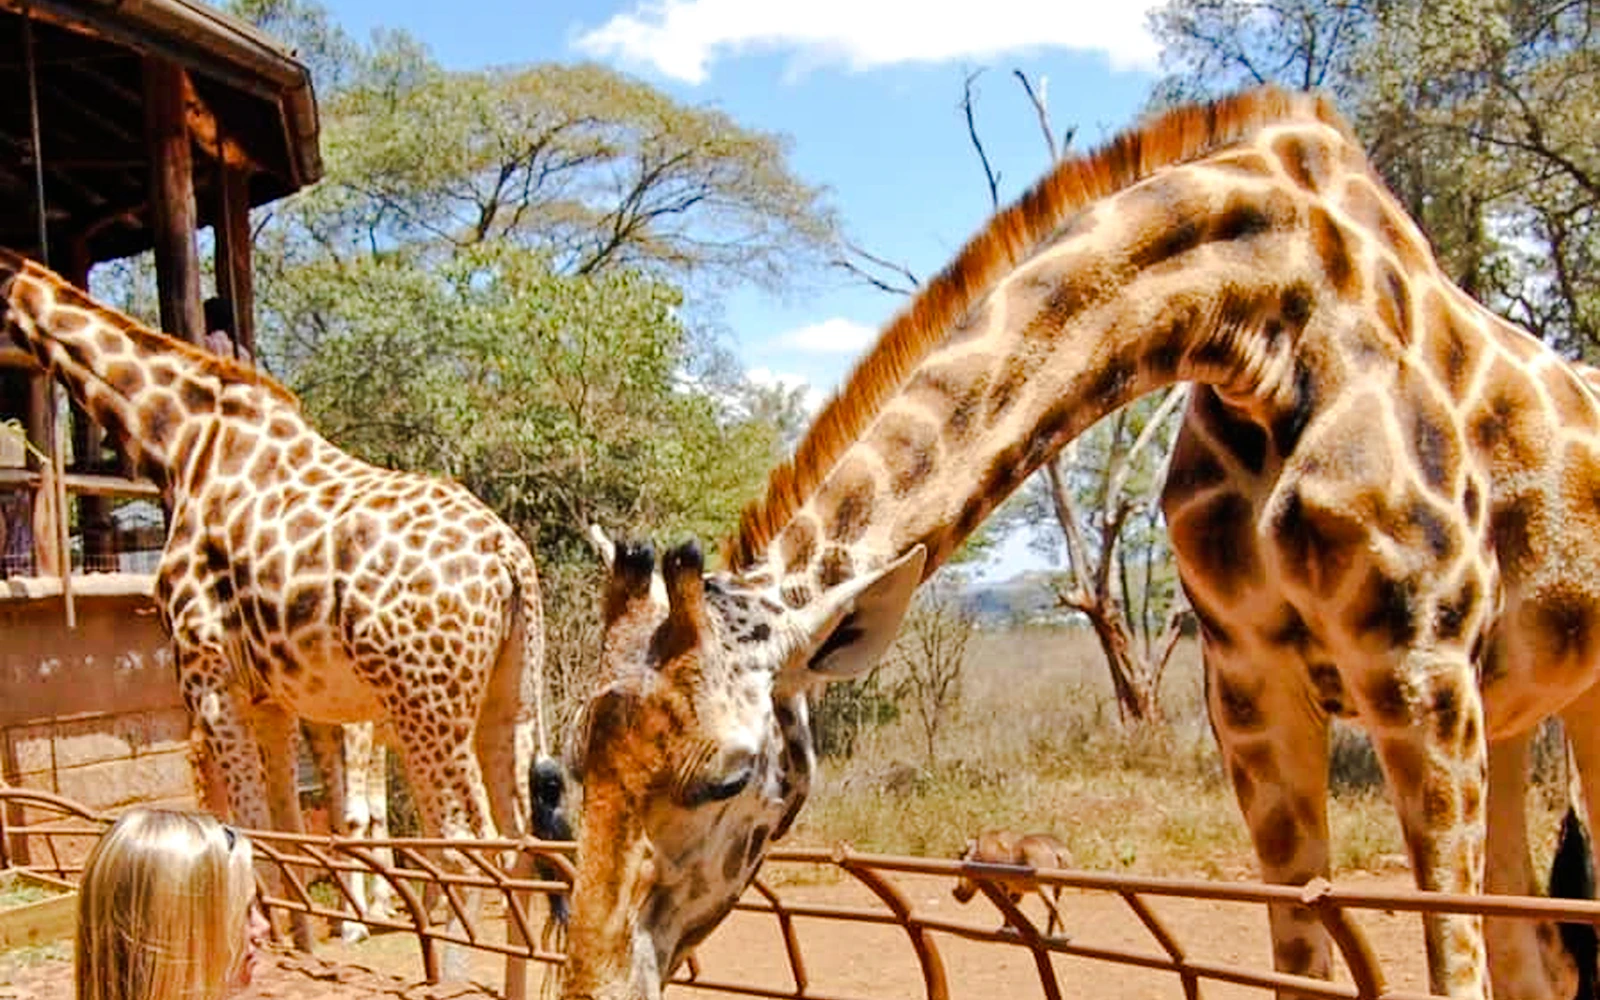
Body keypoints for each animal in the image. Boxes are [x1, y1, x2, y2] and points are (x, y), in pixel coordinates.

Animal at [0, 248, 549, 954]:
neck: (179, 443)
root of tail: (509, 558)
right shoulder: (272, 697)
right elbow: (287, 825)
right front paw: (303, 941)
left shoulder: (207, 677)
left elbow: (251, 827)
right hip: (505, 696)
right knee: (521, 843)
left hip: (425, 702)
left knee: (464, 845)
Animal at [560, 86, 1600, 1000]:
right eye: (578, 763)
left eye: (730, 775)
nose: (592, 986)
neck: (1267, 325)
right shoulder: (1253, 698)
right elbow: (1302, 965)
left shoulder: (1420, 673)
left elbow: (1451, 966)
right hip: (1512, 716)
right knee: (1539, 951)